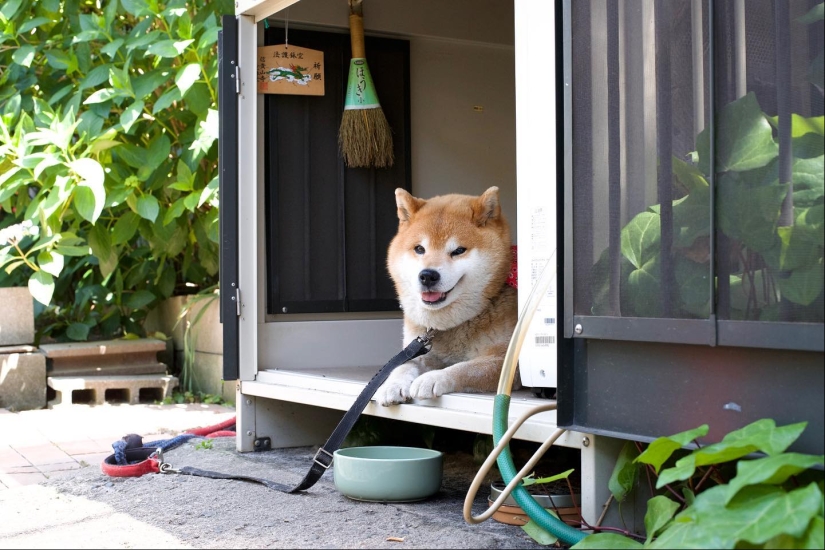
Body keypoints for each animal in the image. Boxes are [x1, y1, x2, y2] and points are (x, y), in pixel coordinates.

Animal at [376, 188, 520, 408]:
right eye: (419, 249)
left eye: (458, 251)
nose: (428, 275)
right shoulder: (419, 351)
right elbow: (402, 365)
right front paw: (392, 385)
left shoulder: (507, 362)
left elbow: (465, 367)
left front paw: (432, 378)